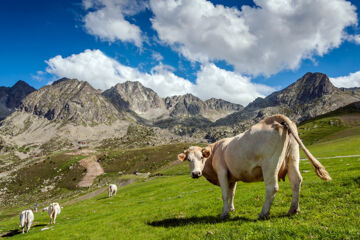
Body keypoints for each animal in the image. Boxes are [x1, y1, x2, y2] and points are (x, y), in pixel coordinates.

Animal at [178, 114, 332, 219]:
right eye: (188, 160)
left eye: (201, 157)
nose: (196, 173)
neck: (216, 151)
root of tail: (276, 118)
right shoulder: (232, 177)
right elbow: (231, 193)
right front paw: (231, 209)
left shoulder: (222, 172)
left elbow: (224, 194)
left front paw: (224, 213)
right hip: (293, 158)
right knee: (296, 181)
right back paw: (293, 210)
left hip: (270, 164)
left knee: (272, 187)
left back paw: (263, 213)